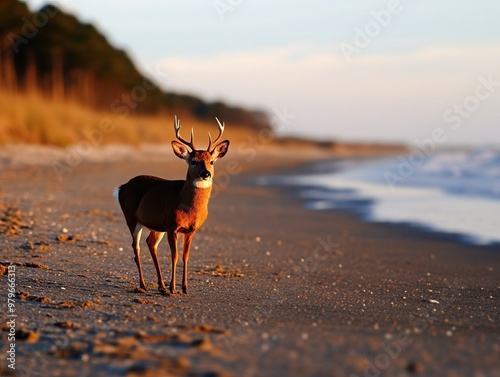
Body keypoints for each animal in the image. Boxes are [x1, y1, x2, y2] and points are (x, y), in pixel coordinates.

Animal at [114, 116, 230, 296]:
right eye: (193, 161)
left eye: (211, 161)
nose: (206, 173)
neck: (188, 206)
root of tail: (122, 187)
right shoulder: (172, 226)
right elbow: (174, 255)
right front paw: (173, 287)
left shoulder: (190, 230)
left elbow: (185, 256)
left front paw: (185, 287)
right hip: (131, 218)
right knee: (136, 247)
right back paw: (144, 285)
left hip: (156, 226)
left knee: (150, 243)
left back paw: (160, 285)